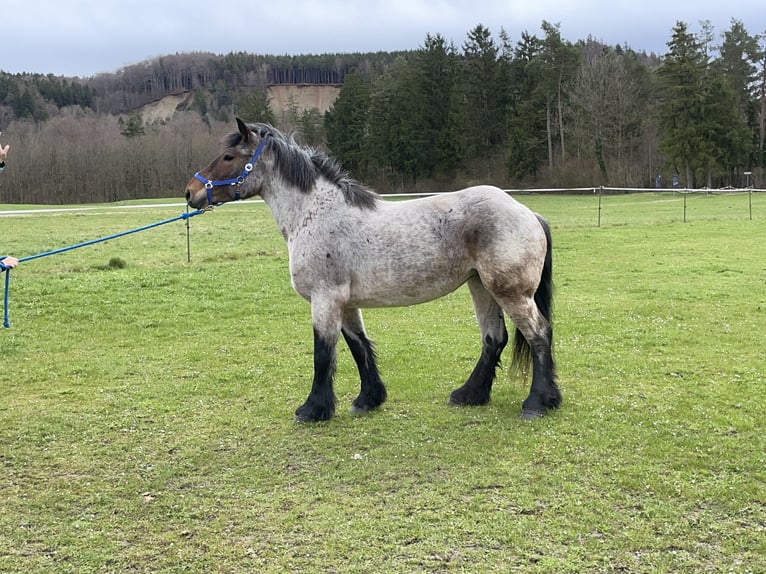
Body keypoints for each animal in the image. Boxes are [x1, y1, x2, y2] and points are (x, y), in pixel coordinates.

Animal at [183, 118, 560, 424]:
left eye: (228, 157)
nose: (190, 192)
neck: (315, 214)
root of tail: (528, 212)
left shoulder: (325, 299)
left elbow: (323, 353)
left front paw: (312, 410)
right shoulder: (346, 303)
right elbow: (358, 347)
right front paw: (368, 400)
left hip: (510, 292)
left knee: (538, 333)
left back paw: (537, 403)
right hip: (480, 286)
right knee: (494, 339)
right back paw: (469, 395)